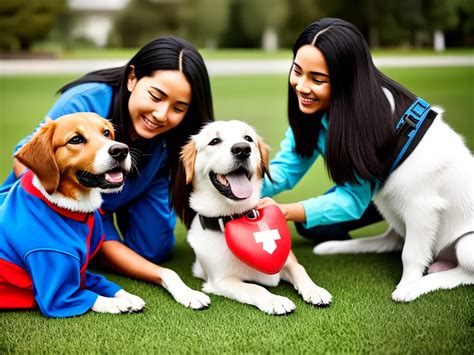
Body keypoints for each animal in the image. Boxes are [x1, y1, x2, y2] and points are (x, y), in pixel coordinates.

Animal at [0, 113, 144, 318]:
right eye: (75, 139)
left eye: (106, 133)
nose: (121, 150)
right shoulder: (55, 293)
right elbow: (90, 296)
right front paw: (116, 303)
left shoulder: (84, 272)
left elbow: (105, 283)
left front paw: (127, 296)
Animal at [172, 121, 332, 316]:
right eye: (214, 141)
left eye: (248, 138)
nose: (242, 149)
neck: (233, 216)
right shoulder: (222, 280)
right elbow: (254, 288)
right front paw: (275, 300)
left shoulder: (286, 259)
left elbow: (299, 269)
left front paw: (314, 290)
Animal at [312, 108, 472, 304]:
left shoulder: (421, 209)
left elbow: (410, 254)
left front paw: (406, 286)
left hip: (466, 243)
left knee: (465, 274)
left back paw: (418, 285)